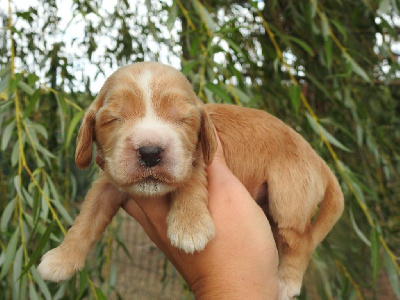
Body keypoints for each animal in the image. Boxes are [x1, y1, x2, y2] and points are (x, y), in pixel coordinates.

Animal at [37, 61, 344, 300]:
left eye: (183, 119)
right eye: (113, 119)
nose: (150, 152)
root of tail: (318, 159)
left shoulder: (198, 157)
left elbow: (190, 181)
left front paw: (189, 226)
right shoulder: (107, 184)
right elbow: (86, 221)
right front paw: (61, 259)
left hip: (287, 199)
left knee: (300, 242)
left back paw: (286, 284)